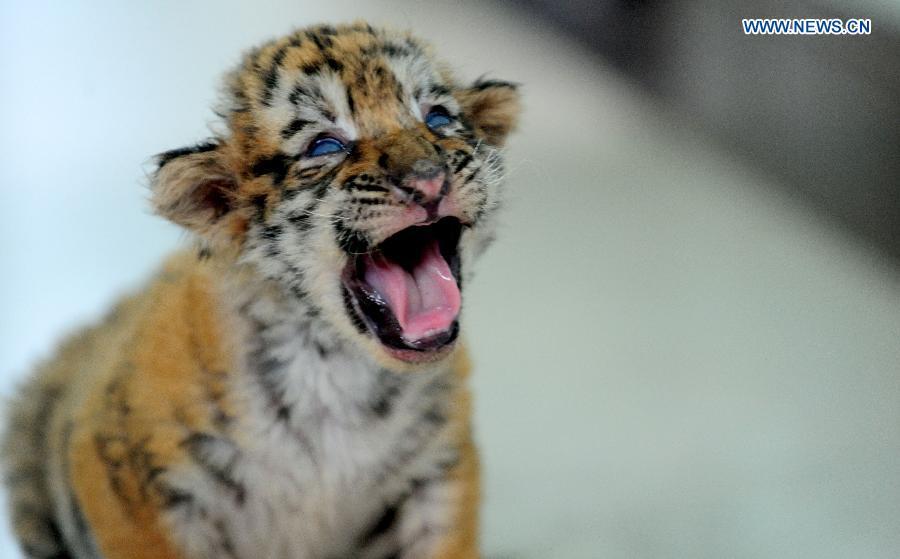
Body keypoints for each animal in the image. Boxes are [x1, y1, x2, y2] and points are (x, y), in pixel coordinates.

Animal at [1, 22, 519, 559]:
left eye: (437, 118)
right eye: (325, 147)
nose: (428, 180)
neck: (335, 371)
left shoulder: (439, 468)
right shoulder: (123, 471)